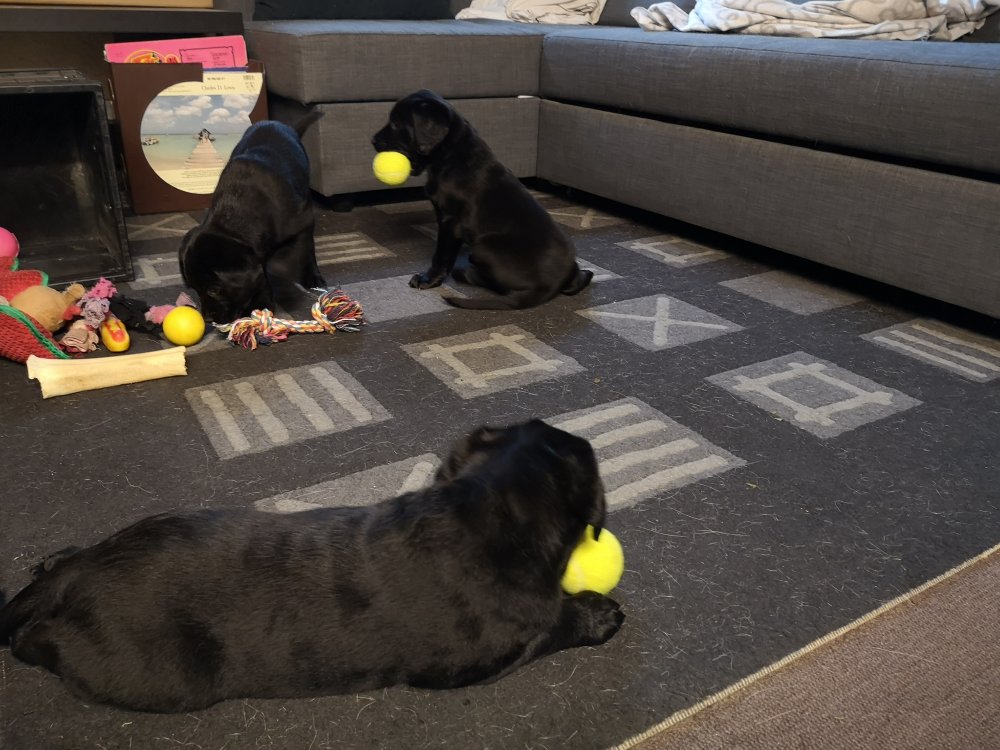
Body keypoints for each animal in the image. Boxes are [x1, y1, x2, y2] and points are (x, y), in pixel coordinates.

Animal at [0, 420, 624, 713]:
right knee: (36, 645)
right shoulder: (485, 656)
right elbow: (551, 627)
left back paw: (56, 556)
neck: (484, 509)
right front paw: (598, 615)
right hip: (157, 675)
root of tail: (79, 576)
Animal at [179, 114, 326, 324]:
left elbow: (301, 250)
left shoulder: (303, 222)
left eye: (214, 290)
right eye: (194, 289)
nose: (207, 319)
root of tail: (275, 122)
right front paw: (262, 302)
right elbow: (260, 272)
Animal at [372, 90, 593, 310]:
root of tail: (547, 287)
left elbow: (441, 254)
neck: (451, 155)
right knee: (576, 282)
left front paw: (428, 280)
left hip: (484, 246)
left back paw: (464, 271)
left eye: (396, 124)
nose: (373, 140)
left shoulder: (450, 220)